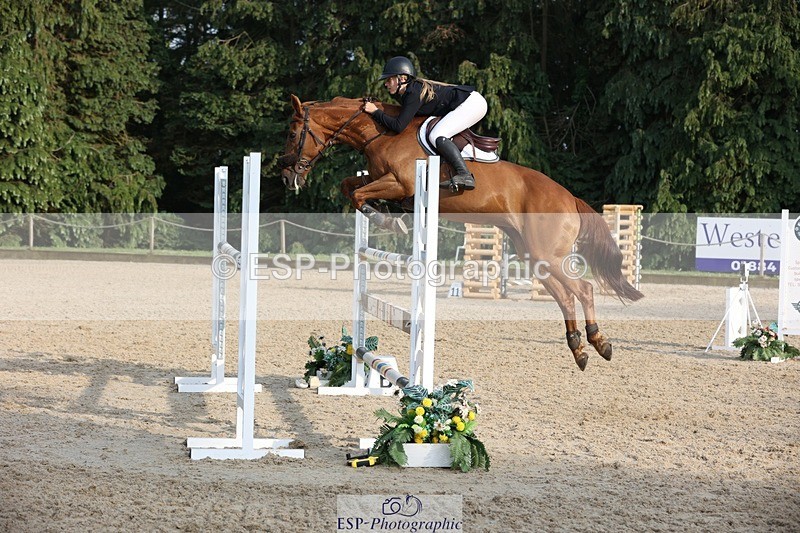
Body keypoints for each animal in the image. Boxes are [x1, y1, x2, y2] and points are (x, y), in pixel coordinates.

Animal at [278, 95, 644, 370]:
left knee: (584, 289)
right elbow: (350, 186)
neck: (381, 133)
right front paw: (383, 212)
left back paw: (599, 342)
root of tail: (569, 198)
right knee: (566, 296)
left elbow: (358, 195)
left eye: (293, 132)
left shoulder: (400, 183)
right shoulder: (380, 179)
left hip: (546, 254)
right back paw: (579, 348)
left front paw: (385, 218)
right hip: (534, 255)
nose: (286, 176)